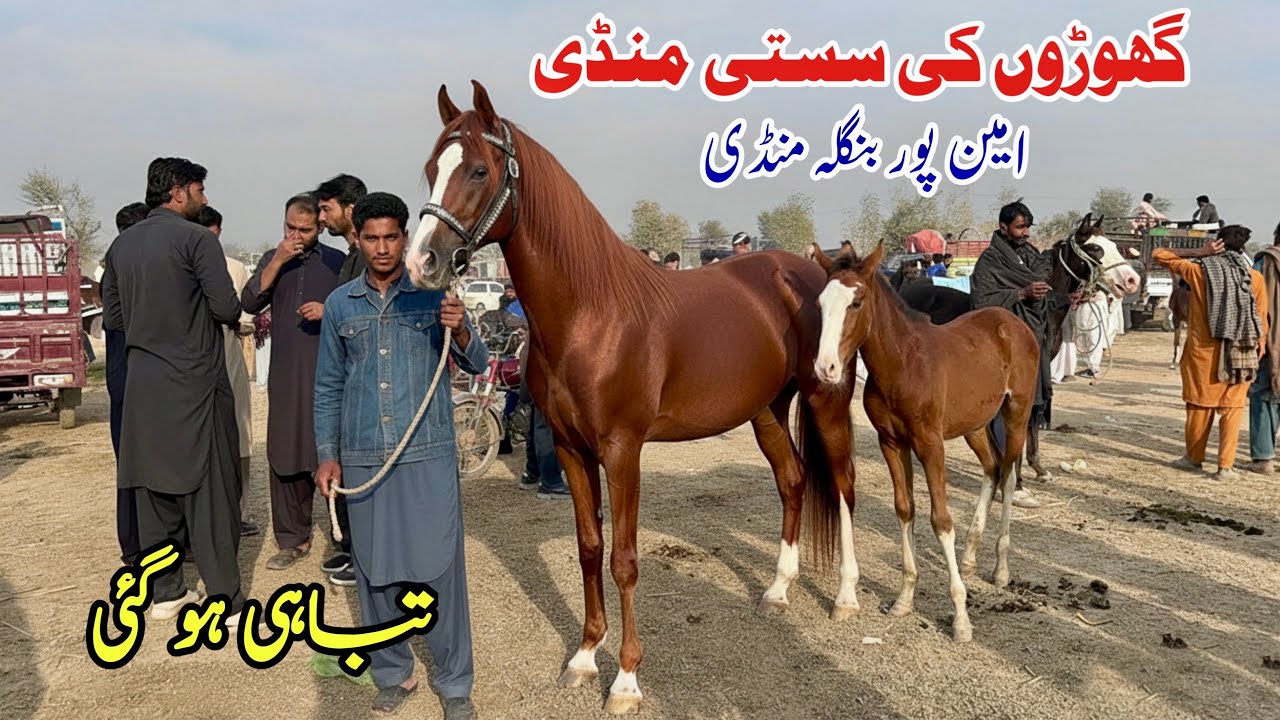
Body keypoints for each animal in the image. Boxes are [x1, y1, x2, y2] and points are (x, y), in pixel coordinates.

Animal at [405, 81, 858, 714]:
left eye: (477, 169)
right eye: (430, 169)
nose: (422, 261)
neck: (593, 313)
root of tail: (814, 272)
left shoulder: (623, 451)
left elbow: (624, 560)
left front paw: (625, 680)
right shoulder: (570, 449)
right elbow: (590, 549)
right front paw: (582, 657)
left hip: (826, 399)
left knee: (842, 486)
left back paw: (846, 597)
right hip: (766, 410)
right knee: (793, 481)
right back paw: (776, 590)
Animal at [811, 241, 1039, 641]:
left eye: (856, 303)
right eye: (821, 303)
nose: (826, 368)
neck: (902, 364)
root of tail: (1011, 322)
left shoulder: (931, 444)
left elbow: (941, 519)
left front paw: (961, 618)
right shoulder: (892, 443)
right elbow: (905, 509)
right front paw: (904, 599)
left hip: (1016, 413)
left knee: (1009, 475)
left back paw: (1000, 568)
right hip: (974, 423)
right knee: (993, 467)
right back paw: (969, 559)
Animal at [900, 214, 1141, 484]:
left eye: (1113, 245)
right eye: (1095, 248)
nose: (1132, 281)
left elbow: (1032, 419)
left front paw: (1038, 468)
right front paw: (1016, 479)